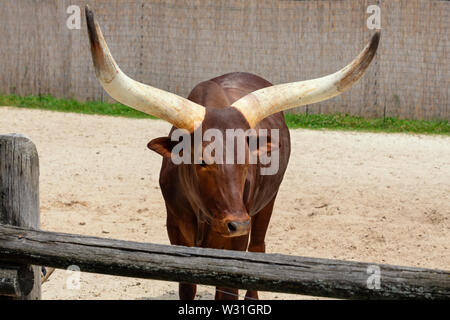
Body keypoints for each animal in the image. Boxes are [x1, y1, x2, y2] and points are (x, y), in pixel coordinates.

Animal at [85, 5, 380, 300]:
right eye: (202, 160)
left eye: (248, 160)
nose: (237, 224)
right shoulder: (176, 229)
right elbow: (186, 285)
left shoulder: (236, 238)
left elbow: (228, 288)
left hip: (267, 203)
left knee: (258, 247)